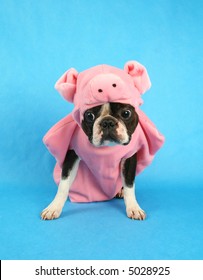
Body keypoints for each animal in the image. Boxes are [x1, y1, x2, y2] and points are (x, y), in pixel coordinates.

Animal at [40, 61, 164, 221]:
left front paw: (133, 207)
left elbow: (129, 184)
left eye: (126, 113)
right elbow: (64, 183)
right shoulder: (71, 155)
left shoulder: (130, 158)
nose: (107, 122)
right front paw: (54, 207)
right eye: (89, 116)